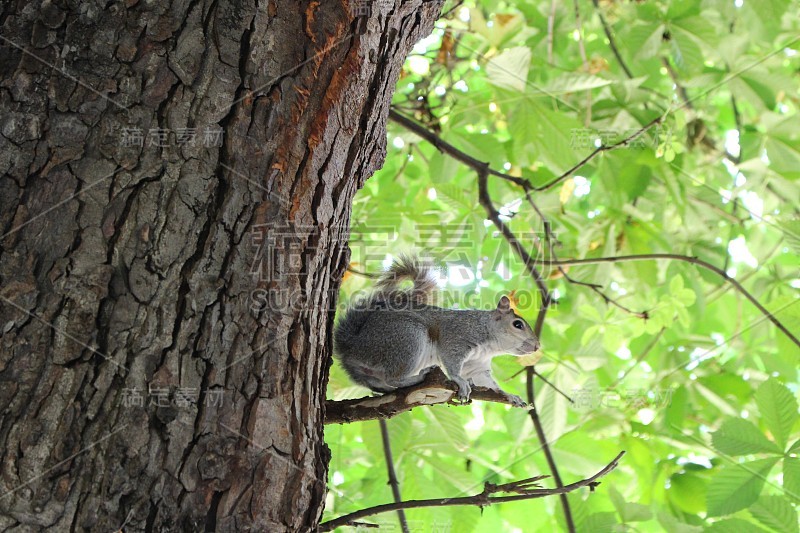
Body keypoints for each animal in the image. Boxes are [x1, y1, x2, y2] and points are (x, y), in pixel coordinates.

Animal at [334, 256, 540, 406]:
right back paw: (418, 377)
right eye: (518, 324)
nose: (537, 346)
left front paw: (510, 396)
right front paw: (460, 381)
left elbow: (490, 384)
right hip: (409, 337)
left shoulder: (478, 366)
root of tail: (352, 347)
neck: (489, 345)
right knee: (392, 378)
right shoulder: (457, 337)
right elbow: (452, 361)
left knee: (382, 382)